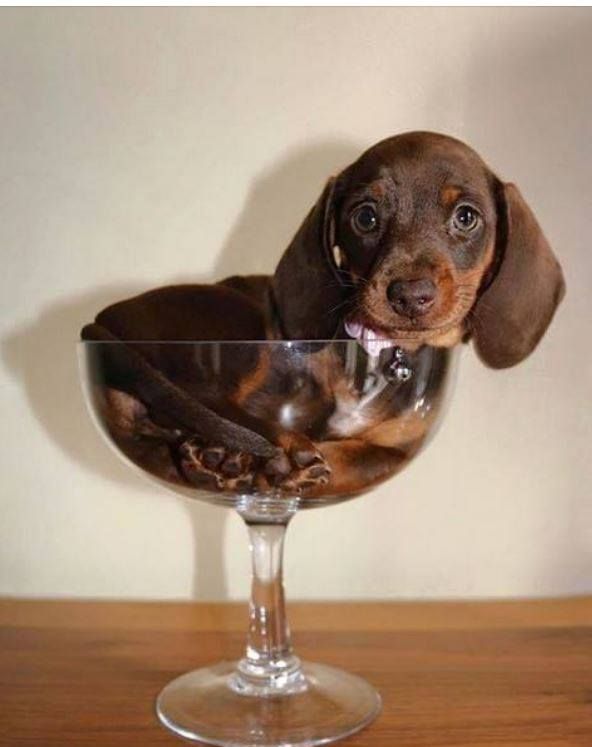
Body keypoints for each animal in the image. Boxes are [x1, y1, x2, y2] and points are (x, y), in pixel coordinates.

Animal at [80, 131, 564, 500]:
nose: (409, 295)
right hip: (231, 318)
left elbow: (357, 459)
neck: (377, 353)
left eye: (466, 217)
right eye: (365, 217)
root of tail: (102, 321)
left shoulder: (394, 449)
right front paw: (275, 462)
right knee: (206, 401)